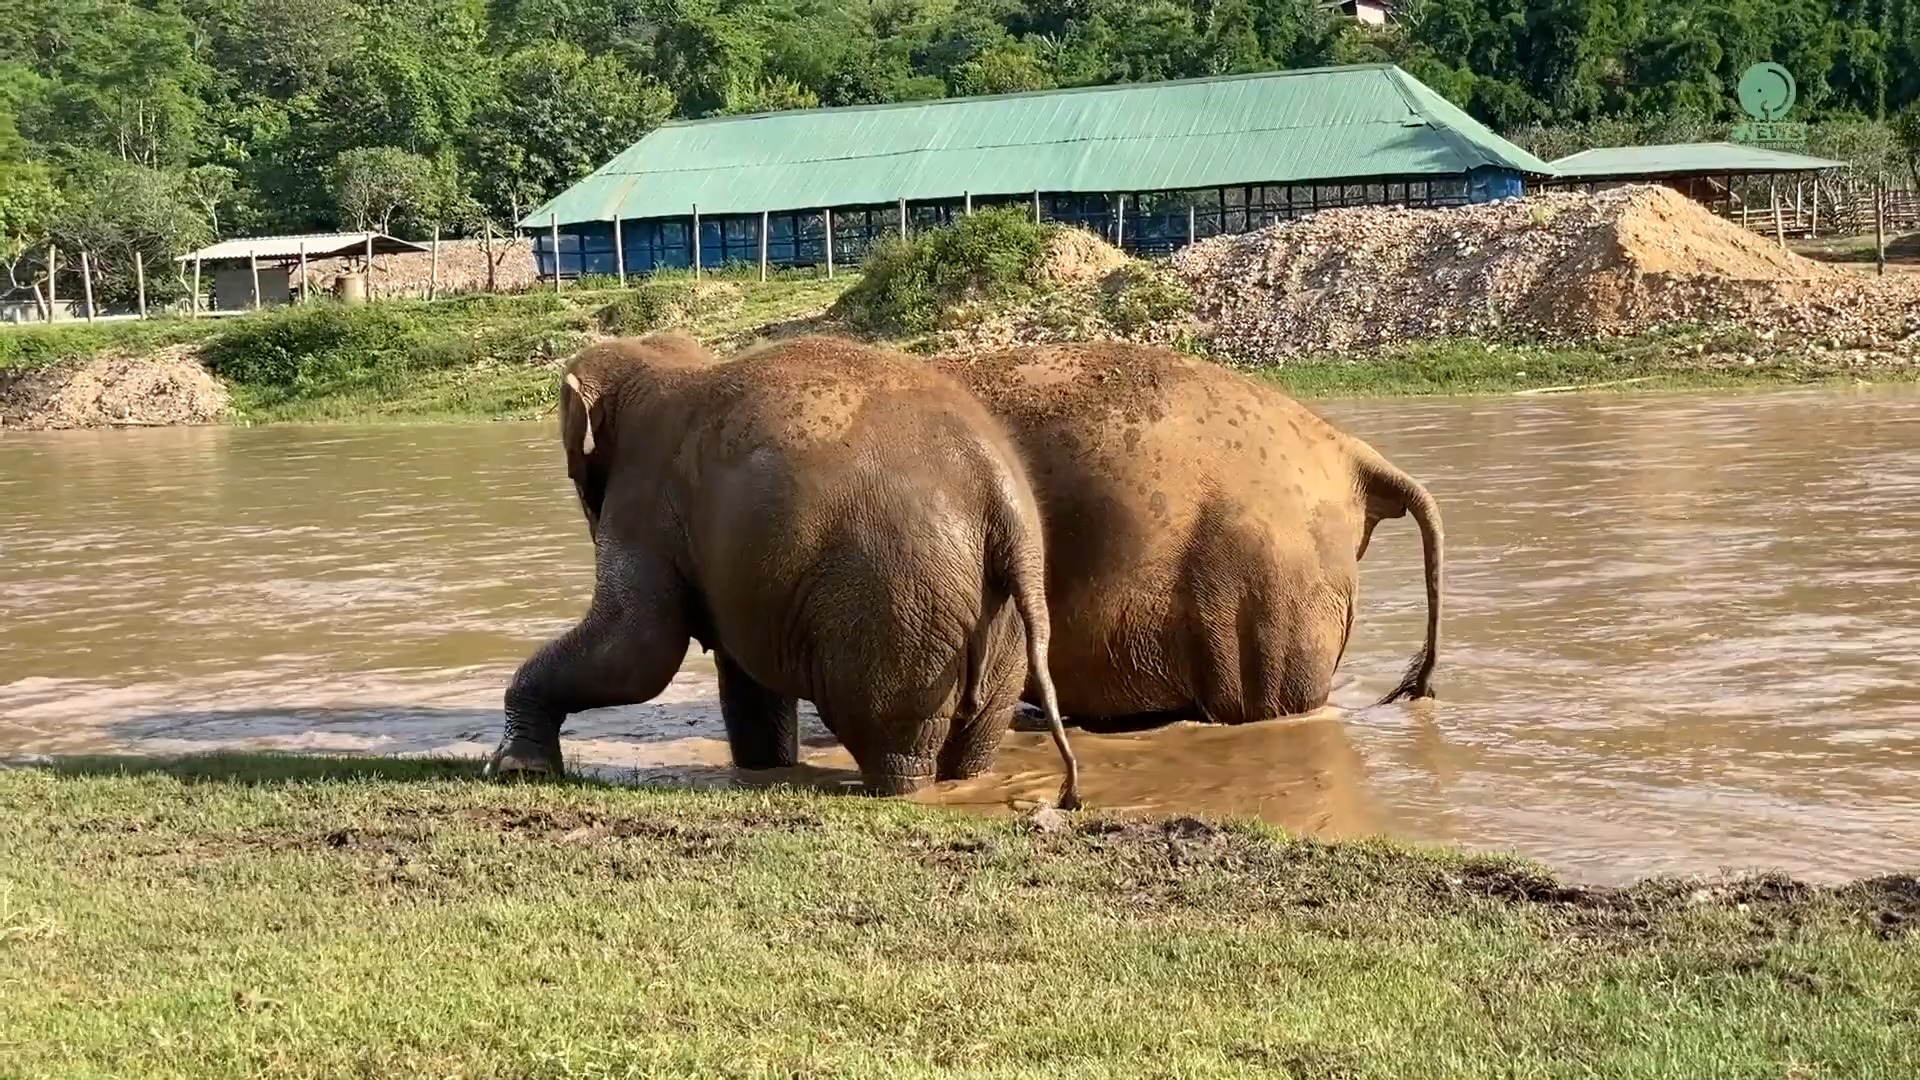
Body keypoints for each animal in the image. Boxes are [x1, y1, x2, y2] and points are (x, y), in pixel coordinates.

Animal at [480, 332, 1082, 803]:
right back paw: (966, 780)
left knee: (887, 734)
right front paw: (765, 769)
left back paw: (902, 788)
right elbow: (739, 673)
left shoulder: (644, 499)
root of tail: (999, 491)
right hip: (995, 616)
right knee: (977, 730)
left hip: (897, 605)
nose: (509, 766)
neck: (661, 360)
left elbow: (640, 650)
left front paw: (515, 767)